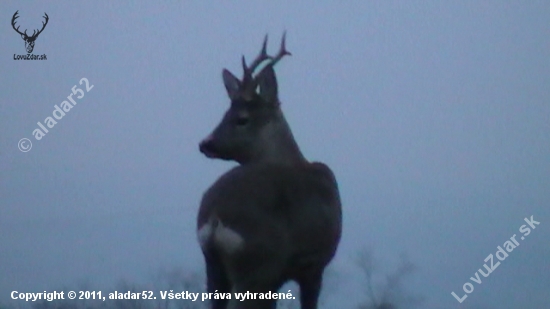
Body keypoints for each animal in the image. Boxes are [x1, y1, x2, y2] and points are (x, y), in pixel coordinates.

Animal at [198, 32, 342, 306]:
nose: (205, 143)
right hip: (258, 266)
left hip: (215, 270)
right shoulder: (314, 264)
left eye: (240, 118)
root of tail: (215, 217)